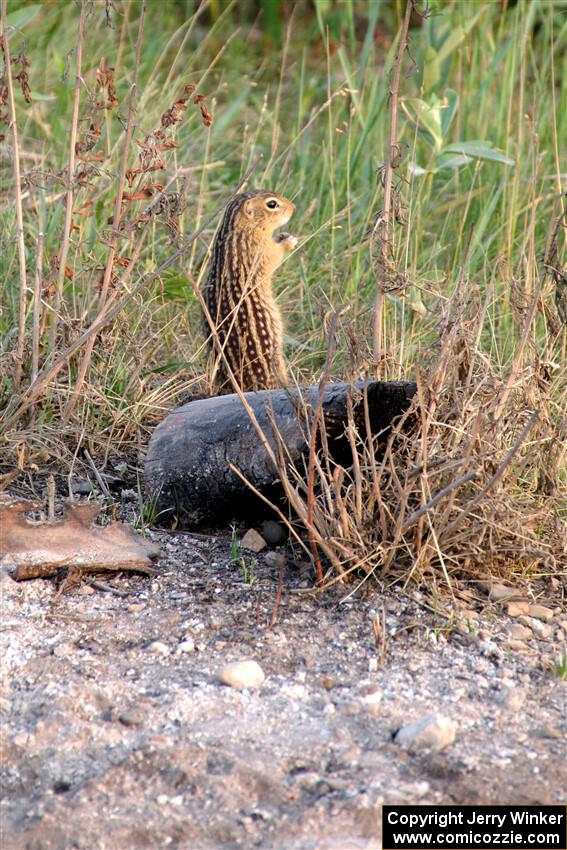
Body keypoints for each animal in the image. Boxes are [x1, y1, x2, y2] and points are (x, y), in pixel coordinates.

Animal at [202, 189, 298, 390]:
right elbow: (275, 256)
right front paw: (289, 241)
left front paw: (283, 235)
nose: (294, 207)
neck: (234, 231)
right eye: (272, 204)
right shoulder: (261, 251)